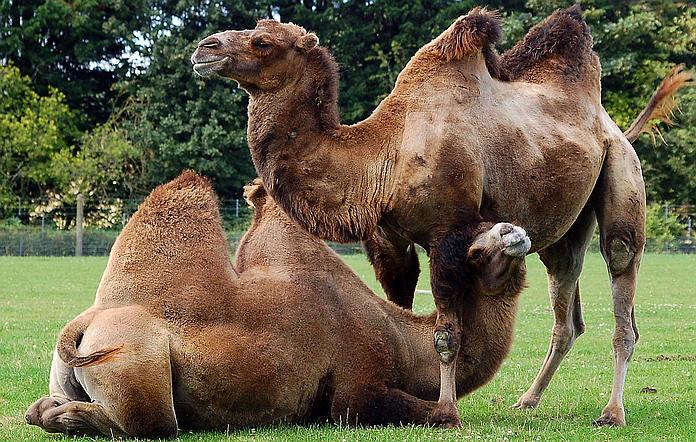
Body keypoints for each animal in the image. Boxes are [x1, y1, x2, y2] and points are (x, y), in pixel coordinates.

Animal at [25, 171, 528, 436]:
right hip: (135, 361)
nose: (515, 232)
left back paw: (50, 411)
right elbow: (439, 414)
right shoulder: (355, 388)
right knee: (153, 424)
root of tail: (83, 325)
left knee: (45, 408)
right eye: (475, 252)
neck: (403, 342)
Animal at [189, 4, 692, 424]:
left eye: (263, 42)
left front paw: (447, 410)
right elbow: (402, 310)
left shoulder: (447, 233)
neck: (382, 153)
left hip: (623, 176)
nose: (204, 48)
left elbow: (446, 335)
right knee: (566, 308)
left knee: (623, 287)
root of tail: (612, 125)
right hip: (564, 231)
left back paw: (612, 412)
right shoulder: (388, 239)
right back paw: (527, 400)